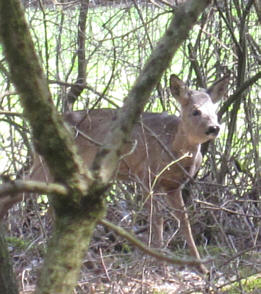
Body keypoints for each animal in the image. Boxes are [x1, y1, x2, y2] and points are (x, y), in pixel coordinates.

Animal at [0, 74, 228, 274]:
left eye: (215, 110)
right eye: (195, 111)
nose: (214, 127)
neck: (173, 147)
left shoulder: (173, 186)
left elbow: (185, 222)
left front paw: (202, 268)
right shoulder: (144, 175)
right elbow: (157, 220)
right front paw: (162, 266)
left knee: (49, 208)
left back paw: (87, 262)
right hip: (47, 167)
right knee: (19, 194)